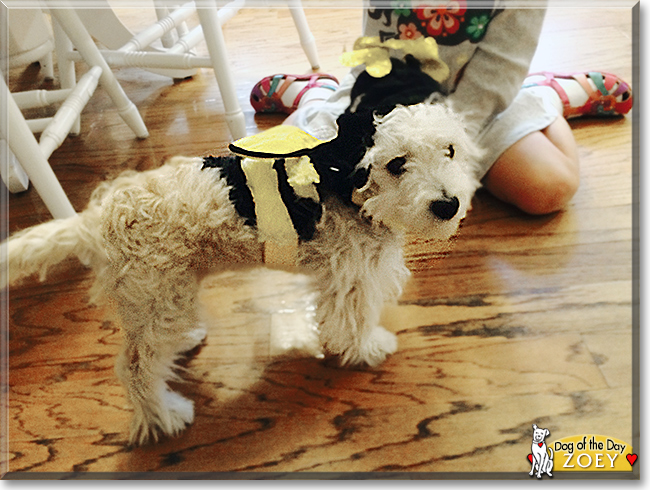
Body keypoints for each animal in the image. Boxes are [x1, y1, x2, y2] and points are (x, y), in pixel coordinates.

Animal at [2, 91, 478, 444]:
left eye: (450, 150)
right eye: (397, 163)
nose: (448, 204)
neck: (346, 182)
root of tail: (95, 221)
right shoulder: (352, 279)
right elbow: (353, 323)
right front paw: (368, 349)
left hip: (165, 297)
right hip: (161, 299)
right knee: (136, 368)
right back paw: (165, 415)